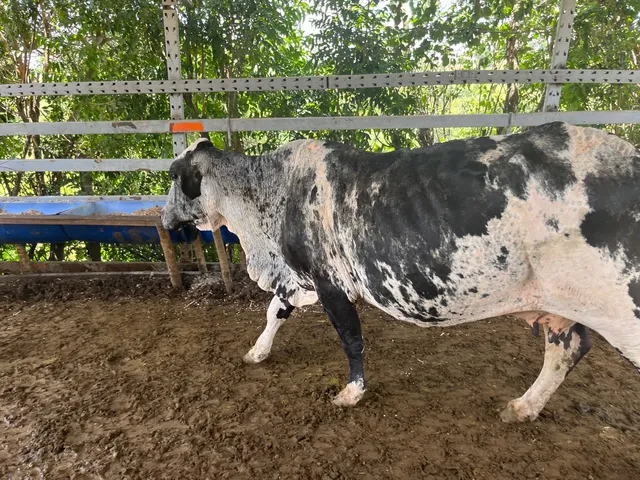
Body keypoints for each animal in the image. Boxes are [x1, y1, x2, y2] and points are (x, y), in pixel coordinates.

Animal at [161, 122, 640, 422]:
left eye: (173, 175)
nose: (164, 220)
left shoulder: (330, 282)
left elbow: (351, 339)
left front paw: (352, 392)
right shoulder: (299, 278)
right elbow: (274, 312)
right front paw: (257, 352)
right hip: (561, 306)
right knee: (566, 349)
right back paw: (523, 407)